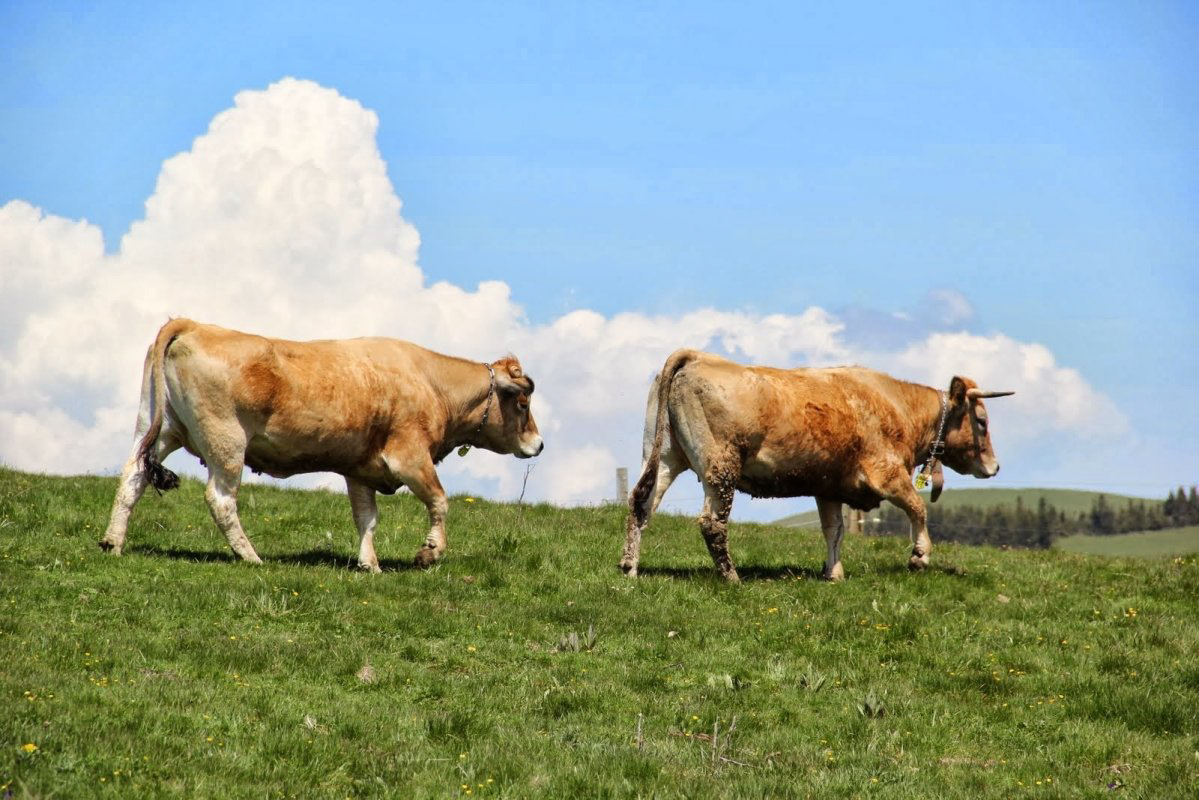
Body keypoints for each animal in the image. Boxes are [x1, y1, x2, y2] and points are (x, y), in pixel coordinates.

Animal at [100, 318, 543, 570]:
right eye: (522, 404)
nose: (538, 445)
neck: (430, 382)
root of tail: (193, 323)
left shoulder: (360, 469)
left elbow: (367, 519)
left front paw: (369, 565)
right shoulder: (409, 457)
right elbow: (439, 501)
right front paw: (429, 552)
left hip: (158, 427)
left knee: (133, 476)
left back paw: (113, 543)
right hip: (225, 441)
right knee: (220, 499)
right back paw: (250, 556)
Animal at [620, 349, 1013, 582]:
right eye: (981, 421)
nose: (994, 467)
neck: (898, 407)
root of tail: (698, 356)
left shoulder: (830, 487)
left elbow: (833, 530)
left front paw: (833, 573)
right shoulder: (886, 473)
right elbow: (918, 508)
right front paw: (919, 556)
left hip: (664, 455)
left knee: (641, 503)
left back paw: (630, 568)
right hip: (721, 466)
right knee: (711, 523)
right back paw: (731, 577)